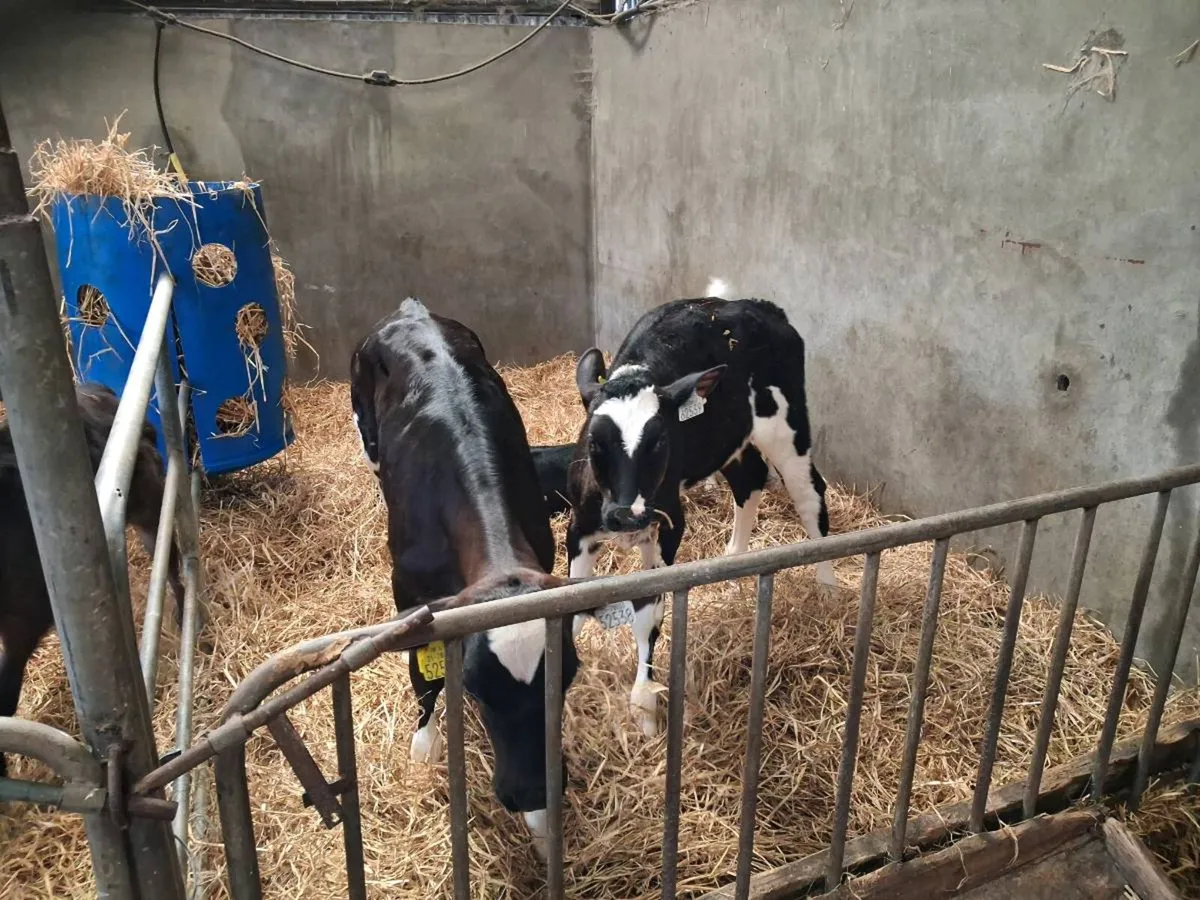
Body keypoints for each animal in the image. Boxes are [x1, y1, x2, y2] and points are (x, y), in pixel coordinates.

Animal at [350, 298, 578, 854]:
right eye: (475, 688)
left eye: (567, 675)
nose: (530, 790)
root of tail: (410, 311)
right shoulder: (409, 596)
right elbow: (423, 677)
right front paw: (424, 745)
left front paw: (544, 832)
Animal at [564, 279, 834, 738]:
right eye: (595, 443)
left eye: (660, 441)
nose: (627, 515)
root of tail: (757, 304)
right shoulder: (579, 530)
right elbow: (572, 606)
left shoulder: (669, 525)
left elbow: (648, 616)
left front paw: (644, 706)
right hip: (732, 438)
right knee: (750, 481)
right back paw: (733, 564)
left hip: (787, 425)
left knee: (809, 493)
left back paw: (829, 588)